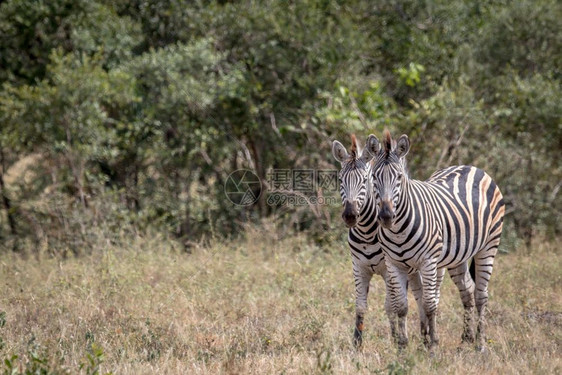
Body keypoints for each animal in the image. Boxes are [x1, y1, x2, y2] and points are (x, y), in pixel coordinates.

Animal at [330, 135, 426, 350]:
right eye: (340, 180)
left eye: (364, 180)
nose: (350, 216)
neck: (366, 232)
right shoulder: (359, 268)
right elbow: (360, 306)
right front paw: (357, 344)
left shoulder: (388, 270)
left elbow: (390, 306)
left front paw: (397, 340)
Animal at [368, 130, 504, 352]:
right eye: (373, 177)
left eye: (399, 177)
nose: (386, 216)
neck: (397, 231)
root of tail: (470, 167)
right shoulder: (394, 263)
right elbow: (401, 306)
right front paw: (402, 347)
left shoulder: (428, 261)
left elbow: (429, 304)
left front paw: (431, 346)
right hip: (458, 256)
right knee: (467, 290)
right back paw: (466, 339)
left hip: (489, 246)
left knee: (481, 295)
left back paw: (480, 344)